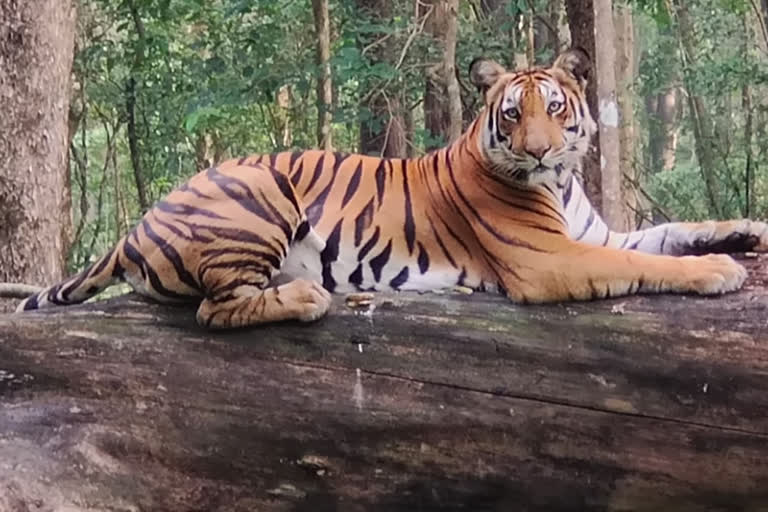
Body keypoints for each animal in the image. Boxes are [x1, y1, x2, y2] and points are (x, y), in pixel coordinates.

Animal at [16, 48, 768, 328]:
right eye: (512, 114)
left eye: (555, 109)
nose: (538, 150)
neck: (559, 183)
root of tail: (134, 225)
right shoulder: (550, 259)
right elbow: (647, 261)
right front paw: (719, 270)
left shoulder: (592, 232)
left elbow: (670, 230)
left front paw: (745, 230)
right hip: (259, 190)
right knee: (215, 309)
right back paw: (308, 295)